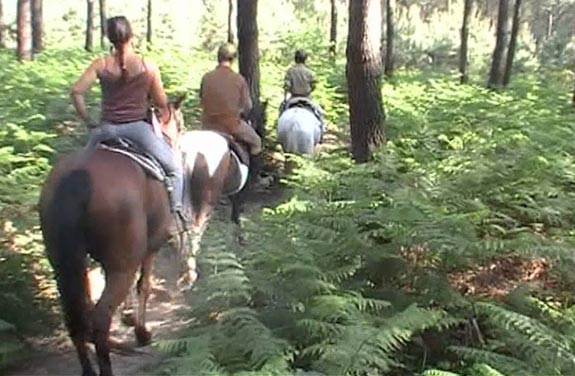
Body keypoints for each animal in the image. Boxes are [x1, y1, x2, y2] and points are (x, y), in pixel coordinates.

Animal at [38, 96, 186, 376]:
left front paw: (128, 316)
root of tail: (77, 178)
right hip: (122, 264)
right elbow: (144, 286)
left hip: (64, 265)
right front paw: (141, 332)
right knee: (100, 318)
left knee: (75, 318)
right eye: (180, 125)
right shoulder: (150, 247)